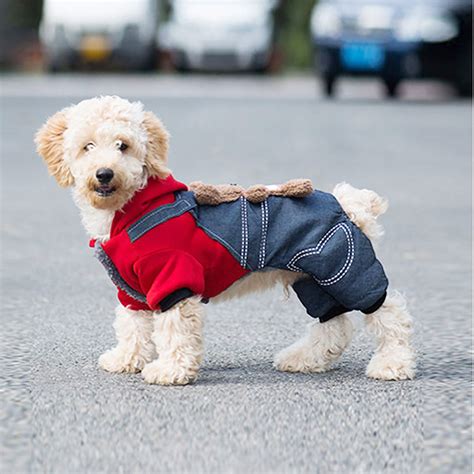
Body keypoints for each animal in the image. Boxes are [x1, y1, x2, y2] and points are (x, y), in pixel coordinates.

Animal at [36, 95, 414, 386]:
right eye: (87, 146)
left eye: (123, 146)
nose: (104, 174)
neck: (129, 210)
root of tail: (348, 204)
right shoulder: (133, 291)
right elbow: (132, 327)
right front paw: (126, 359)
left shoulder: (174, 279)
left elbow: (174, 331)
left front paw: (171, 371)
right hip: (313, 281)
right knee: (334, 324)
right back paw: (302, 358)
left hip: (343, 269)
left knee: (388, 311)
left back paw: (393, 363)